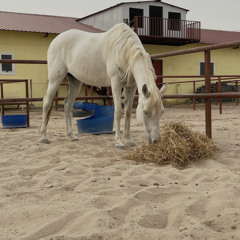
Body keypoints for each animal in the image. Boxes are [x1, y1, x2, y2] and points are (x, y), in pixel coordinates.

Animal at [39, 23, 167, 148]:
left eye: (162, 112)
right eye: (145, 112)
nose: (156, 140)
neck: (123, 51)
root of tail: (56, 40)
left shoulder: (131, 87)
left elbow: (128, 112)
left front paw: (129, 140)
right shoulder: (116, 84)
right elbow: (118, 111)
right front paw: (119, 142)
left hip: (75, 82)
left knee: (67, 104)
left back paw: (72, 136)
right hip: (55, 79)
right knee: (46, 102)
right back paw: (43, 137)